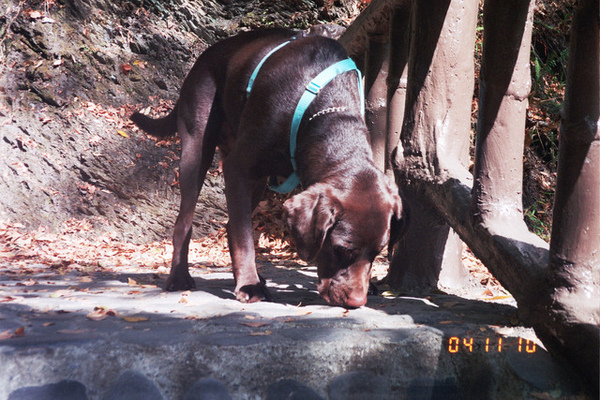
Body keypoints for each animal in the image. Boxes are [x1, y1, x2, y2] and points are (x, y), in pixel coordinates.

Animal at [131, 28, 404, 308]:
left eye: (378, 253)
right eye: (341, 249)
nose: (357, 301)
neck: (328, 114)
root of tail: (206, 55)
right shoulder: (237, 167)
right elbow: (244, 237)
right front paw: (250, 285)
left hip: (256, 181)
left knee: (229, 225)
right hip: (197, 148)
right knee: (185, 221)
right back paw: (180, 277)